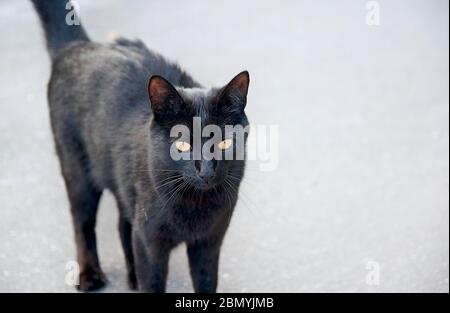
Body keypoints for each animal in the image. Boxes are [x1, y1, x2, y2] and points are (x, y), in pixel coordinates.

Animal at [31, 0, 250, 292]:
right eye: (182, 144)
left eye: (224, 141)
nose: (205, 171)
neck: (194, 203)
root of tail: (79, 46)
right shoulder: (150, 243)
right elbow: (153, 282)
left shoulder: (209, 242)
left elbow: (206, 283)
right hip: (77, 170)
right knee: (82, 223)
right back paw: (89, 276)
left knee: (124, 224)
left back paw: (132, 275)